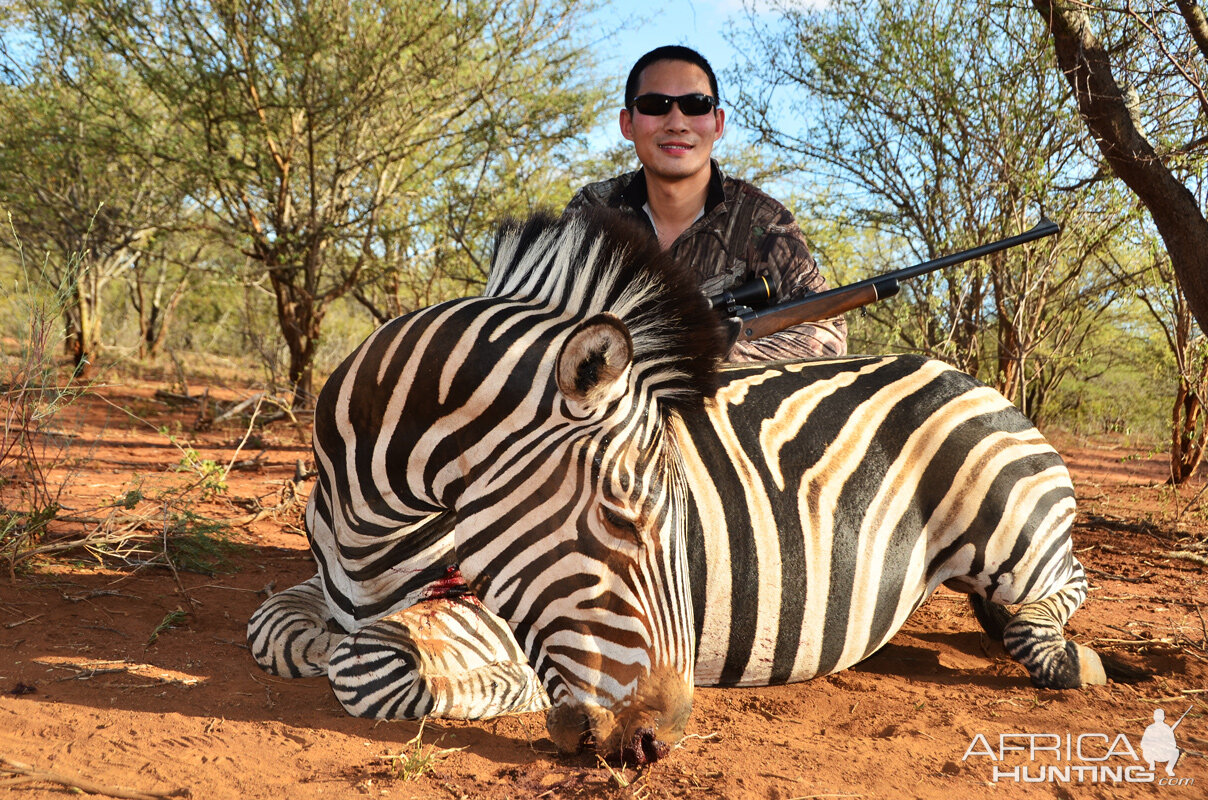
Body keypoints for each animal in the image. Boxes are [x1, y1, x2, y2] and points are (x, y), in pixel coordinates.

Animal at [247, 210, 1121, 768]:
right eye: (622, 517)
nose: (656, 741)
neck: (371, 525)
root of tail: (960, 372)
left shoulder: (498, 614)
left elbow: (373, 667)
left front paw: (499, 689)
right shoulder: (322, 587)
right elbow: (281, 633)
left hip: (1013, 526)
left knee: (1057, 592)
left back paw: (1070, 659)